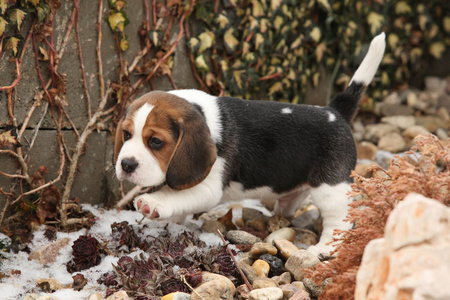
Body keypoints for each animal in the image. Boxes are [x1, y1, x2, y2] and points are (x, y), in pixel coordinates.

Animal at [114, 33, 384, 258]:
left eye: (156, 142)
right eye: (126, 134)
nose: (126, 164)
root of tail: (335, 112)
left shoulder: (209, 188)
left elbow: (177, 194)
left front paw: (154, 203)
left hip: (331, 188)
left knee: (338, 220)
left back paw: (324, 249)